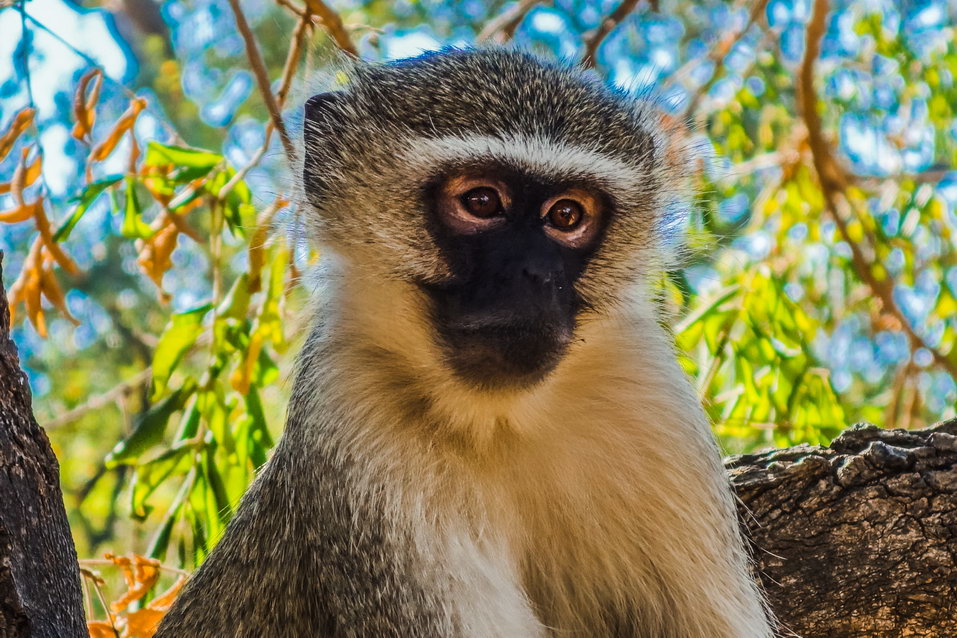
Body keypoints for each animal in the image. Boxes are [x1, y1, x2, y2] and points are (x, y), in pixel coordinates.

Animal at [157, 47, 768, 636]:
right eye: (481, 202)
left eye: (567, 215)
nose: (532, 276)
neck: (502, 420)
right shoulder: (349, 414)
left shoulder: (653, 400)